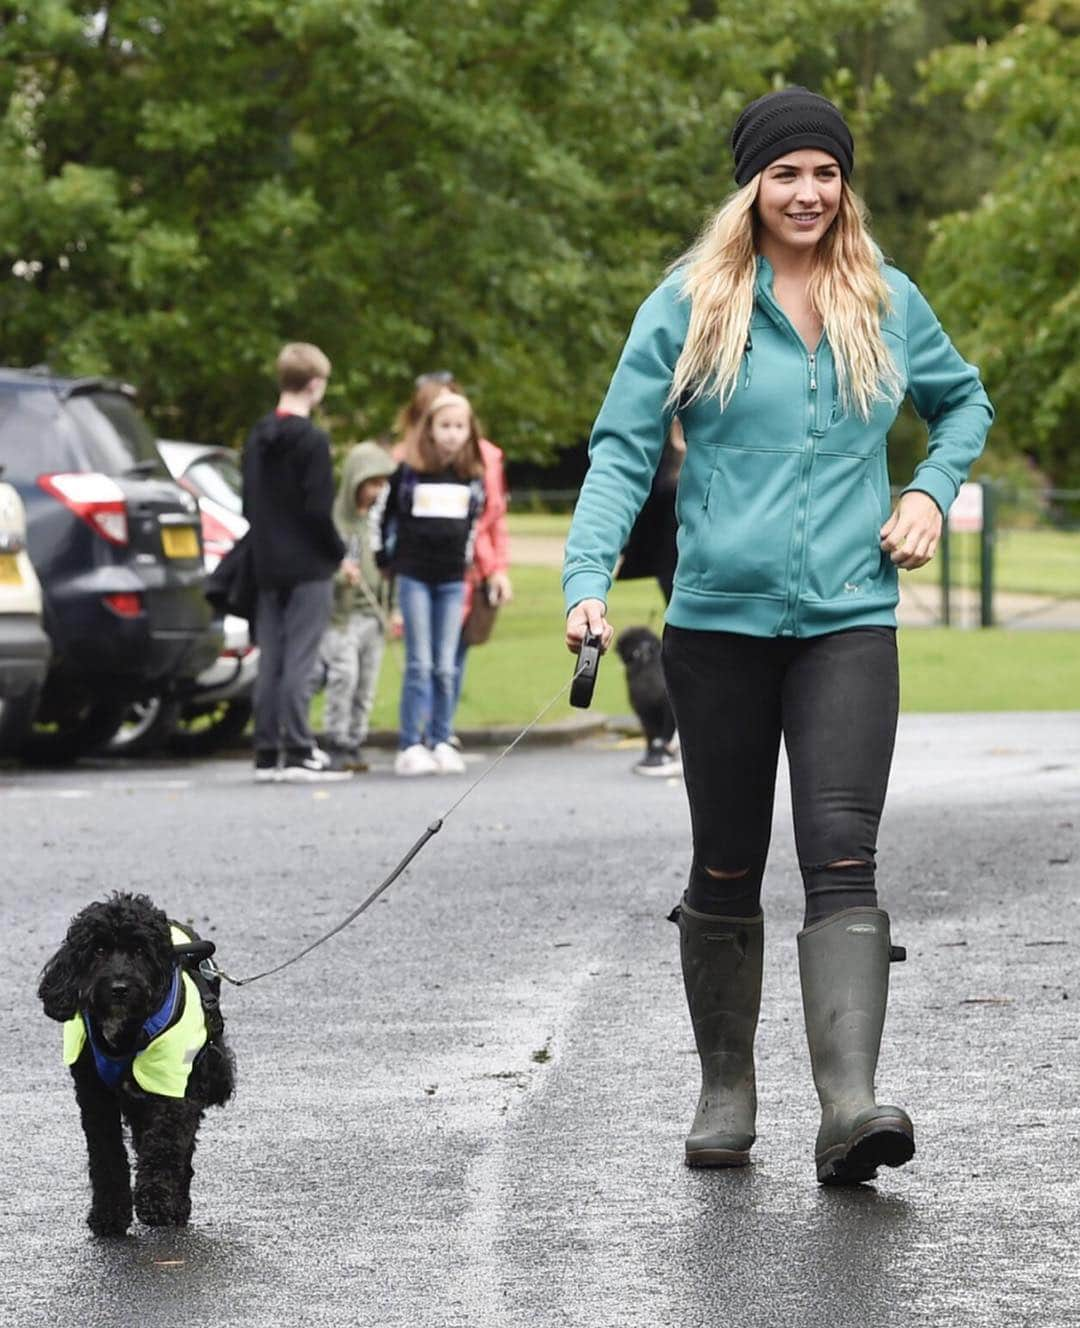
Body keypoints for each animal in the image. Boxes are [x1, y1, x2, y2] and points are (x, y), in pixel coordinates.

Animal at [37, 887, 233, 1237]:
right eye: (99, 949)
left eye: (140, 950)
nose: (119, 988)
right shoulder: (94, 1096)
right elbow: (106, 1154)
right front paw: (109, 1214)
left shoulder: (173, 1090)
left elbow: (165, 1144)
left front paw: (156, 1201)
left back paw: (177, 1202)